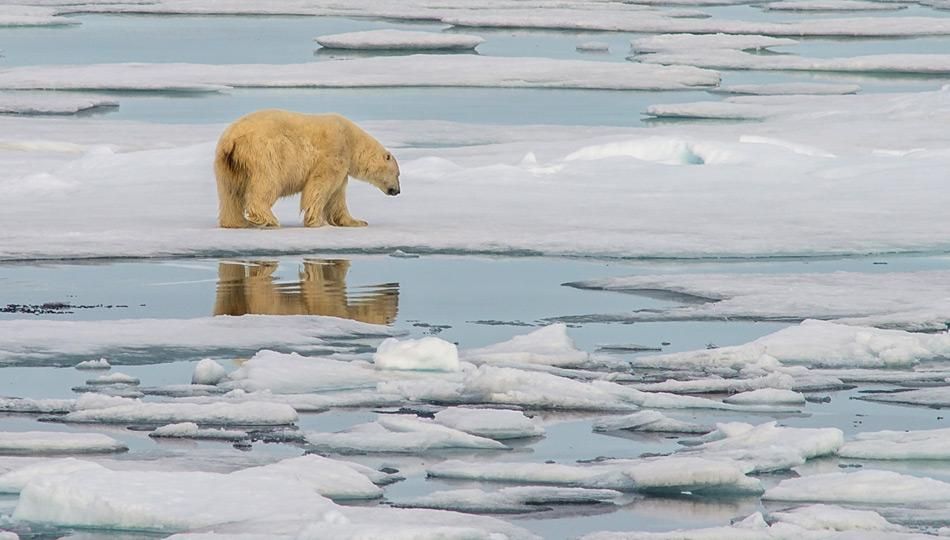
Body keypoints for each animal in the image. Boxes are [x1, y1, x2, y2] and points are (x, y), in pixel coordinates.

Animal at [214, 109, 400, 228]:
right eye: (398, 174)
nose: (397, 191)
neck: (351, 141)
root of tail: (231, 139)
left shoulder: (343, 167)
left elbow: (337, 197)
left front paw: (357, 221)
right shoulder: (335, 153)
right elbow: (320, 186)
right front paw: (316, 221)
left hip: (228, 164)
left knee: (230, 192)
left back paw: (236, 222)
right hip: (264, 153)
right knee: (267, 184)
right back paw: (269, 219)